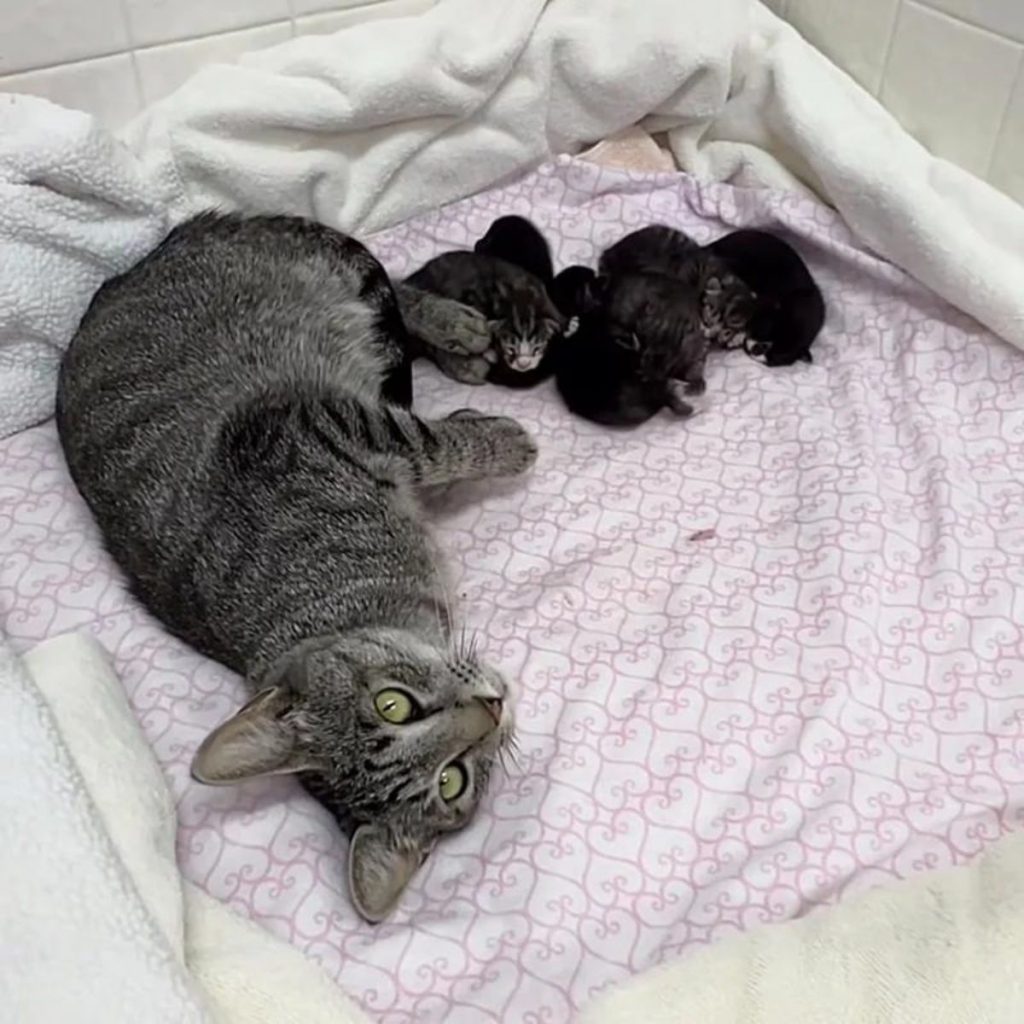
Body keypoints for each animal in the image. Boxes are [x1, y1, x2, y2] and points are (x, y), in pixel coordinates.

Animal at [55, 211, 536, 925]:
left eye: (392, 704)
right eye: (454, 779)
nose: (489, 707)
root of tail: (135, 265)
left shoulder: (305, 424)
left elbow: (428, 441)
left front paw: (500, 439)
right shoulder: (319, 424)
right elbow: (427, 443)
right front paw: (498, 437)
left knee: (395, 280)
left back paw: (459, 329)